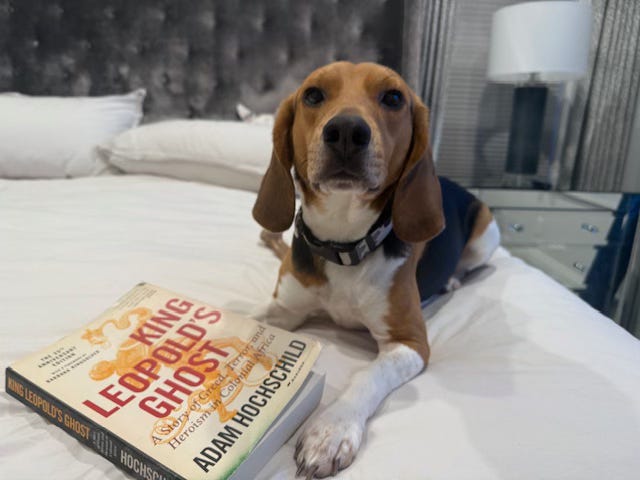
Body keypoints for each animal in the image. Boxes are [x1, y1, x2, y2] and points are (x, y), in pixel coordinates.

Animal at [252, 62, 500, 478]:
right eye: (313, 94)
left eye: (394, 98)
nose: (347, 131)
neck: (343, 245)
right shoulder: (283, 309)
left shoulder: (411, 342)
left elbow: (369, 374)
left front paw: (331, 430)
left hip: (487, 232)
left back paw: (451, 279)